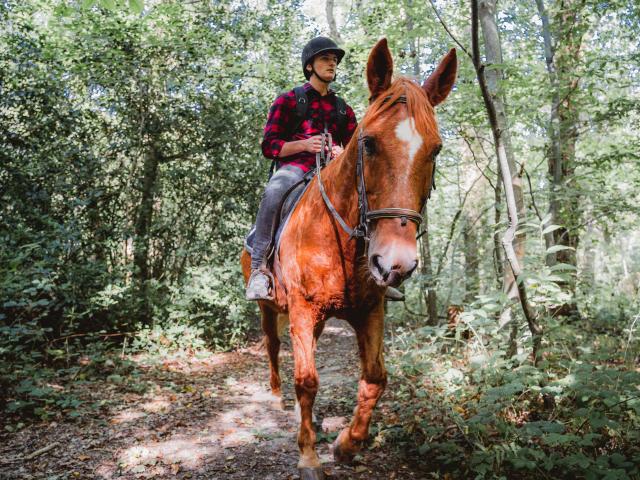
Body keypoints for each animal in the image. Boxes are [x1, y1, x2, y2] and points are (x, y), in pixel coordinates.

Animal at [240, 39, 456, 478]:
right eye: (368, 143)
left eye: (436, 149)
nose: (394, 263)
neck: (339, 237)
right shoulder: (302, 310)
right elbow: (306, 381)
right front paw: (309, 456)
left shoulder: (369, 311)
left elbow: (375, 377)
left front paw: (346, 444)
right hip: (270, 308)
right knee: (273, 347)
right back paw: (275, 397)